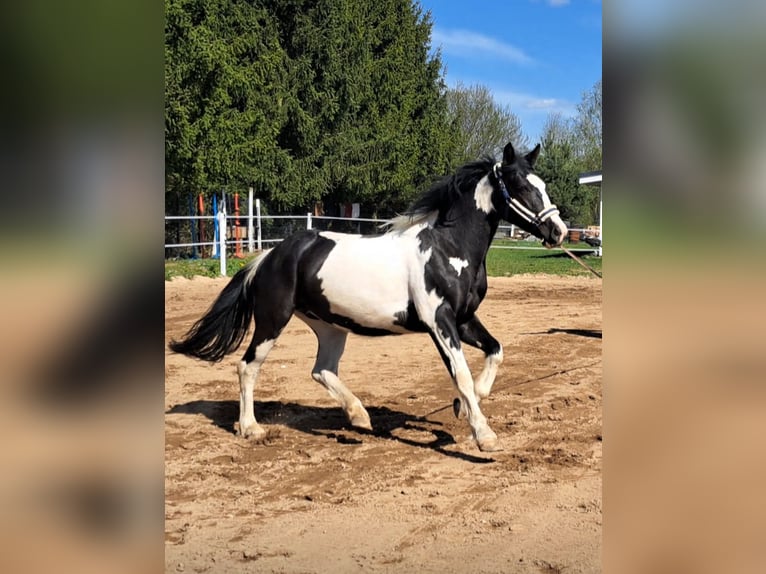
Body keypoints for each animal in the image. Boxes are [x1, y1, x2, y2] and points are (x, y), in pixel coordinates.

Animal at [169, 142, 567, 452]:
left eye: (543, 184)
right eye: (520, 185)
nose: (558, 231)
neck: (447, 249)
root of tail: (269, 256)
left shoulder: (465, 319)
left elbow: (495, 352)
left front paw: (463, 406)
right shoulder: (439, 322)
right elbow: (462, 375)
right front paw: (484, 434)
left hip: (330, 326)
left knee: (322, 370)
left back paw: (359, 416)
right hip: (272, 320)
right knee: (248, 366)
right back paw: (251, 428)